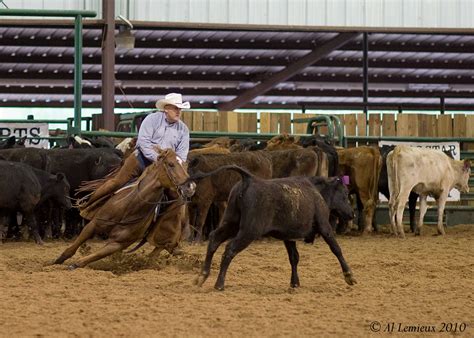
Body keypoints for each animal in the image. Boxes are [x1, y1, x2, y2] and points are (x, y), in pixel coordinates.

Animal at [54, 148, 195, 270]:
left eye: (184, 165)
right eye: (171, 164)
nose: (191, 186)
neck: (130, 207)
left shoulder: (118, 243)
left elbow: (97, 255)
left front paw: (75, 264)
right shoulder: (94, 224)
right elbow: (74, 246)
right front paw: (57, 261)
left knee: (160, 249)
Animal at [192, 166, 356, 290]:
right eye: (345, 193)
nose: (352, 213)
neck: (316, 192)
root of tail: (249, 179)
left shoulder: (288, 237)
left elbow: (294, 258)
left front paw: (294, 283)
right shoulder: (325, 227)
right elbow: (336, 249)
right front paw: (349, 276)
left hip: (231, 224)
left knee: (214, 239)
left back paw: (202, 276)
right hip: (249, 231)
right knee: (230, 249)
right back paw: (219, 284)